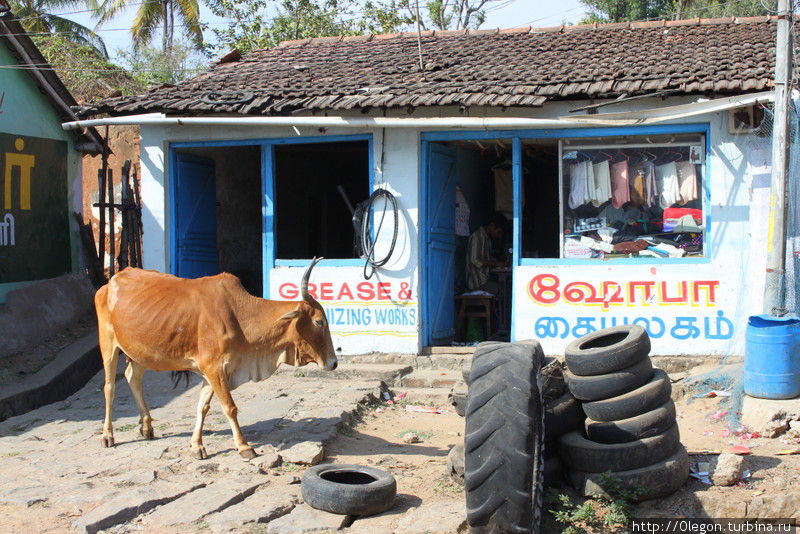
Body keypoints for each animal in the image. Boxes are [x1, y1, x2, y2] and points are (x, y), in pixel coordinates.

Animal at [95, 260, 336, 460]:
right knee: (109, 387)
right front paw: (244, 447)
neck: (239, 316)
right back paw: (108, 435)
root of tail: (111, 281)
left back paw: (146, 427)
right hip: (108, 344)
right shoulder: (214, 368)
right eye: (319, 321)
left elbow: (203, 406)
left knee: (132, 377)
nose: (333, 362)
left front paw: (197, 446)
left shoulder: (215, 371)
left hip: (140, 351)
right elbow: (230, 407)